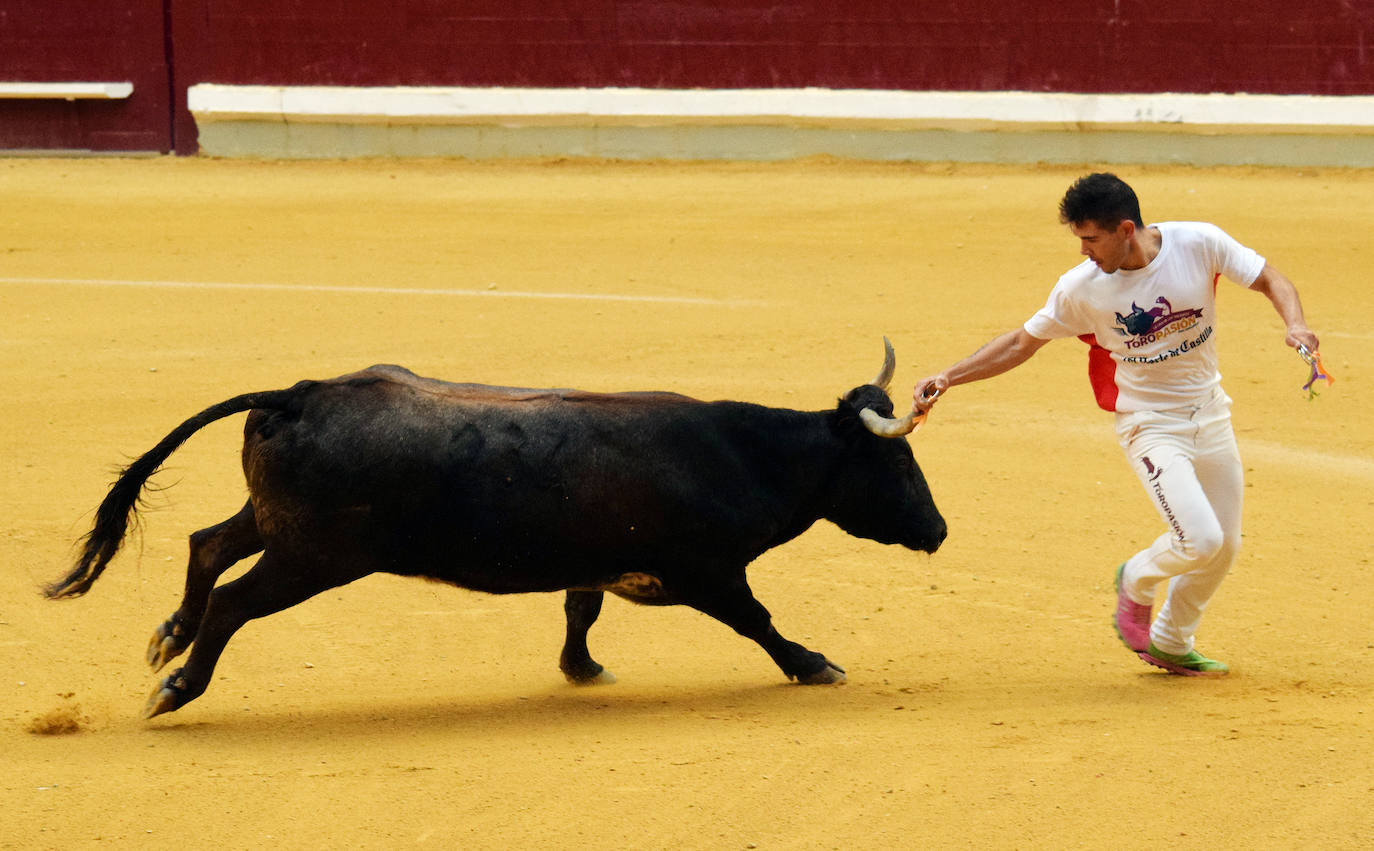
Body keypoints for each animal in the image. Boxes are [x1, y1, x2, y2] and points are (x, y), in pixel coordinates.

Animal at [50, 342, 945, 714]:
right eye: (899, 463)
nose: (938, 530)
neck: (742, 452)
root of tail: (303, 393)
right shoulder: (709, 571)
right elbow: (759, 621)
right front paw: (816, 664)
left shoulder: (599, 557)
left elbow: (580, 606)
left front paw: (581, 669)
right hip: (313, 555)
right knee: (234, 601)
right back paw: (176, 686)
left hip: (276, 524)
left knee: (207, 544)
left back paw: (167, 639)